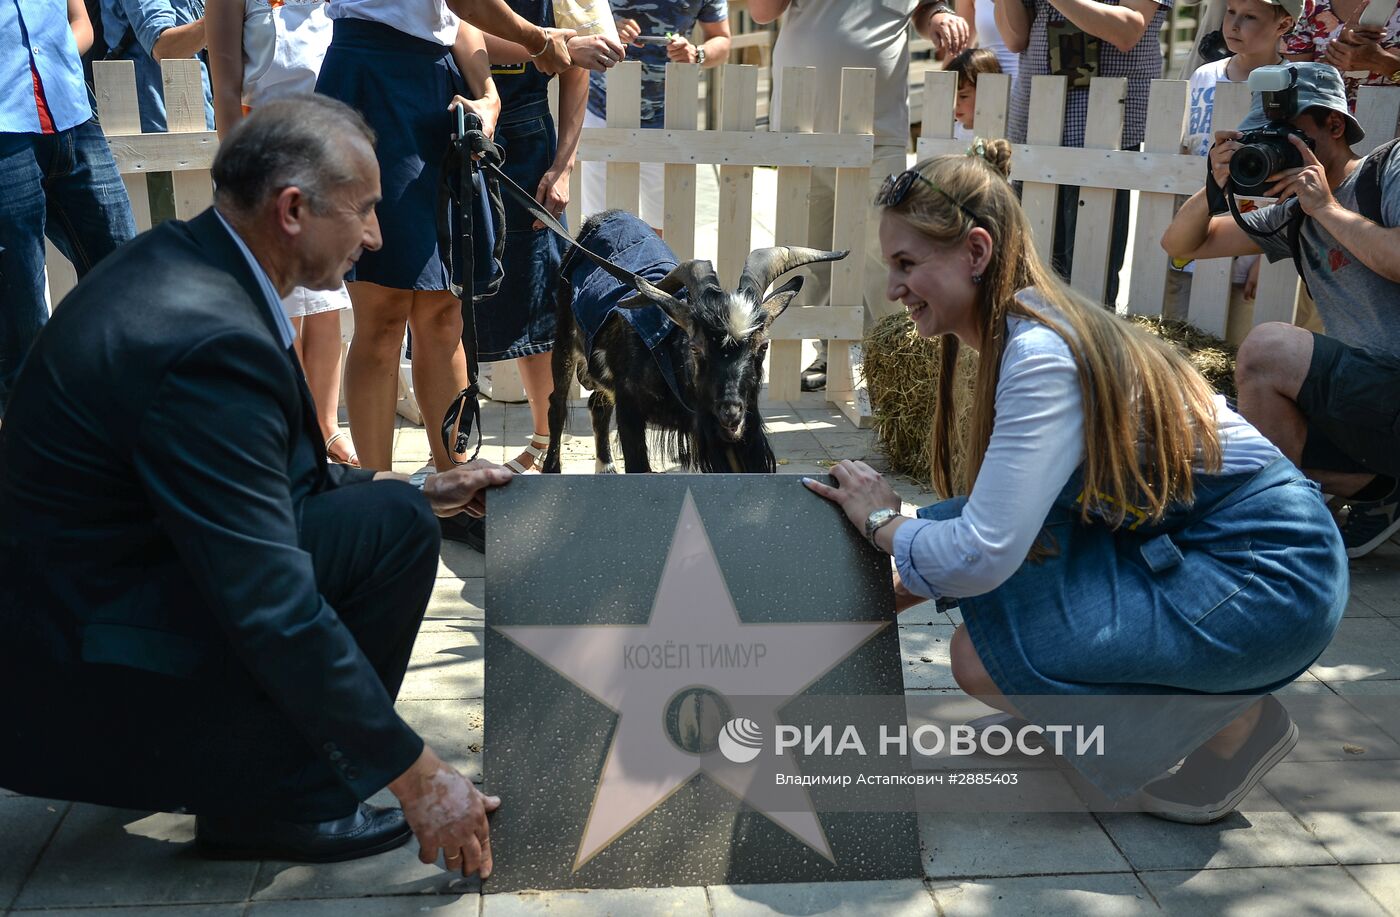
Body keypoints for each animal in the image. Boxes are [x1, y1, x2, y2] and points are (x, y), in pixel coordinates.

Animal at [537, 211, 840, 476]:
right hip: (563, 337)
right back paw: (551, 468)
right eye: (696, 347)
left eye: (763, 346)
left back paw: (606, 468)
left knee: (597, 406)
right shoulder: (629, 407)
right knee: (556, 404)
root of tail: (601, 217)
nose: (731, 411)